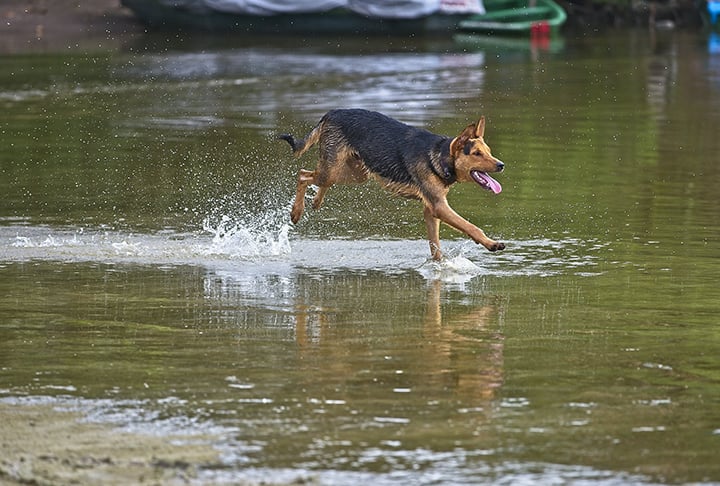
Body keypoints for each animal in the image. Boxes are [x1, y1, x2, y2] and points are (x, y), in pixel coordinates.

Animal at [278, 109, 504, 262]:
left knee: (311, 176)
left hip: (355, 173)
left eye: (488, 151)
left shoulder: (430, 209)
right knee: (303, 175)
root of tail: (330, 113)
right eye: (476, 154)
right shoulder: (439, 206)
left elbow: (435, 246)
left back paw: (316, 201)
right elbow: (470, 226)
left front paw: (439, 265)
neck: (439, 157)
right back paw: (296, 212)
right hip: (333, 170)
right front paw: (491, 244)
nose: (501, 165)